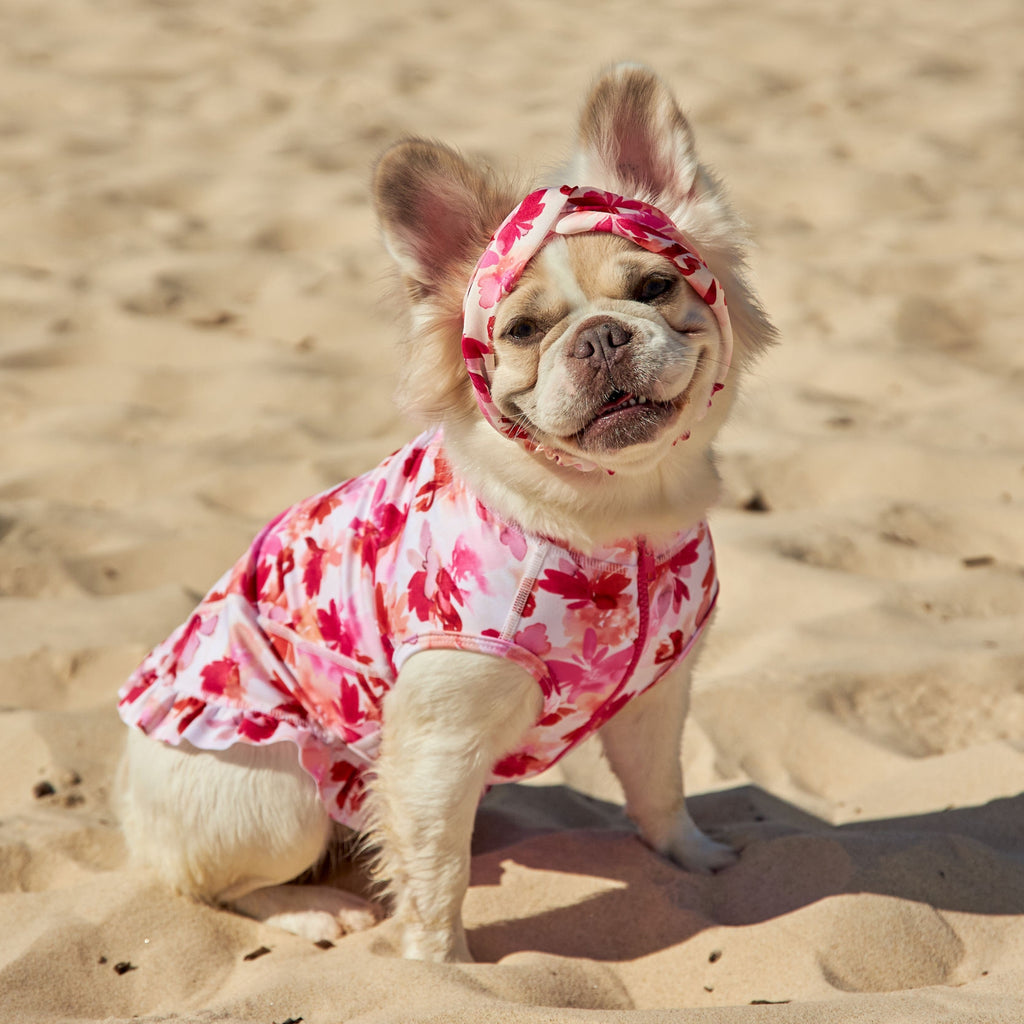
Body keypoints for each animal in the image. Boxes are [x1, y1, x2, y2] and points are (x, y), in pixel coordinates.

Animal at [117, 64, 774, 958]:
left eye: (654, 288)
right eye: (523, 331)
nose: (601, 335)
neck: (611, 516)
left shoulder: (655, 700)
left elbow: (660, 790)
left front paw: (696, 858)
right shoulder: (435, 745)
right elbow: (435, 876)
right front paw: (443, 966)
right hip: (280, 799)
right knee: (214, 884)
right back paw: (313, 910)